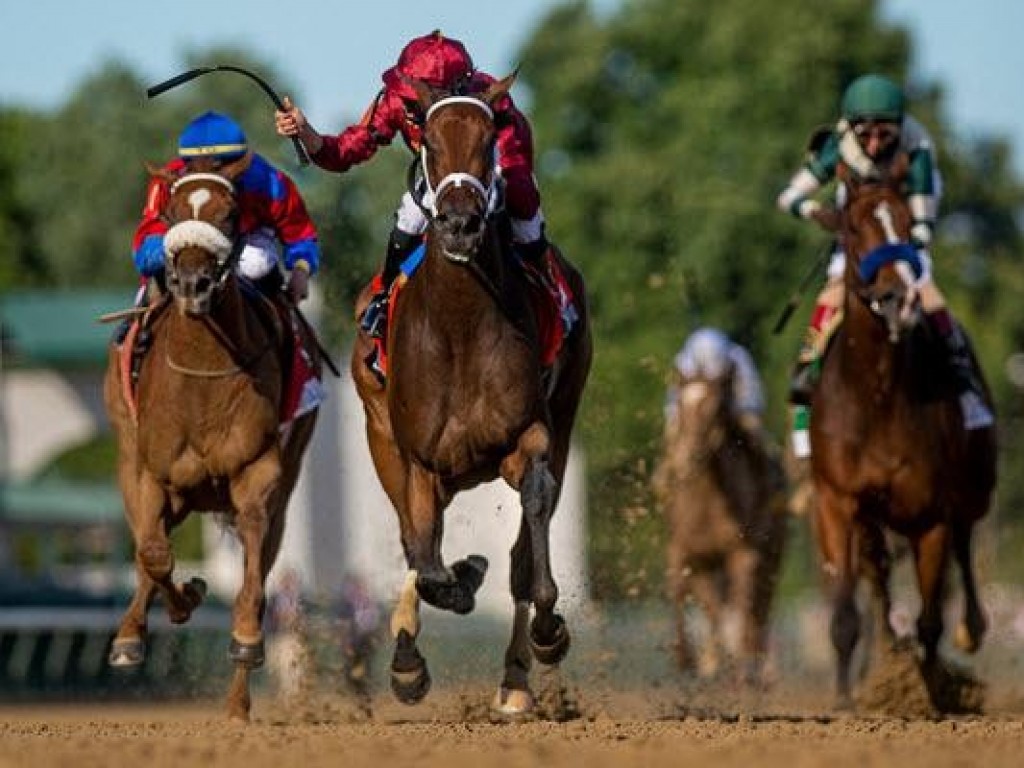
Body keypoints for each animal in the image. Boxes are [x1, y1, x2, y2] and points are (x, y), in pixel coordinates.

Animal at [103, 154, 319, 720]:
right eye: (173, 210)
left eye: (229, 214)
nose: (193, 285)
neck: (202, 374)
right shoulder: (154, 474)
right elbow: (153, 556)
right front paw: (180, 603)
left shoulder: (257, 472)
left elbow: (252, 581)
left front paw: (243, 636)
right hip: (137, 465)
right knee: (147, 550)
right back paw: (131, 634)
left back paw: (237, 703)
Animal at [352, 75, 593, 720]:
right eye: (430, 142)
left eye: (490, 140)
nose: (460, 224)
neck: (459, 324)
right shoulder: (418, 459)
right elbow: (425, 556)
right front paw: (457, 585)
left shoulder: (529, 435)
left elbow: (529, 529)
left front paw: (547, 630)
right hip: (382, 439)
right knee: (416, 543)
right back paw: (409, 657)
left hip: (563, 418)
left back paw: (514, 679)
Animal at [651, 364, 786, 684]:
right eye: (681, 405)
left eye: (714, 409)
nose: (686, 458)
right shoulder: (687, 554)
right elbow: (687, 597)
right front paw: (691, 660)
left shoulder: (744, 554)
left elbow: (740, 612)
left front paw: (741, 668)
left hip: (772, 555)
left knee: (760, 609)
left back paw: (759, 668)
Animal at [811, 159, 995, 712]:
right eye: (853, 228)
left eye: (907, 225)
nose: (897, 297)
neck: (878, 397)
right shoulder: (837, 500)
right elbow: (846, 613)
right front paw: (846, 699)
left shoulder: (930, 514)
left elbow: (931, 618)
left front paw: (932, 694)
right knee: (877, 572)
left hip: (974, 487)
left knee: (964, 546)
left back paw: (969, 631)